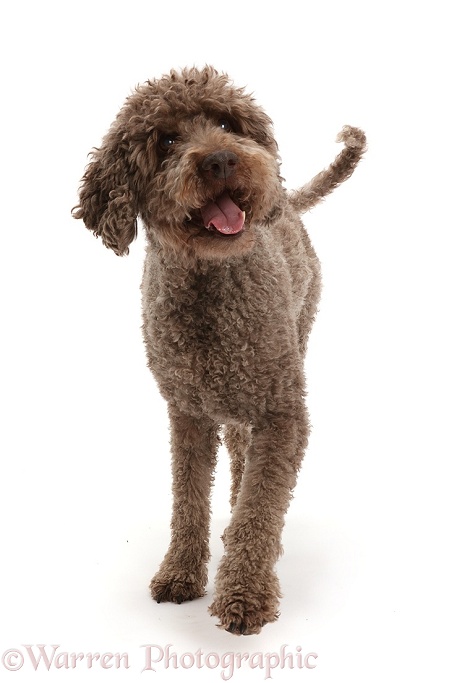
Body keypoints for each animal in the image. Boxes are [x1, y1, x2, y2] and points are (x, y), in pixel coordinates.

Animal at [71, 67, 364, 640]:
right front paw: (181, 572)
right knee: (237, 450)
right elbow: (188, 498)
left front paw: (246, 593)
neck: (211, 287)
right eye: (165, 140)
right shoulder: (186, 413)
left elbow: (263, 501)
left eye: (228, 124)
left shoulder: (282, 412)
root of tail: (287, 203)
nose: (222, 160)